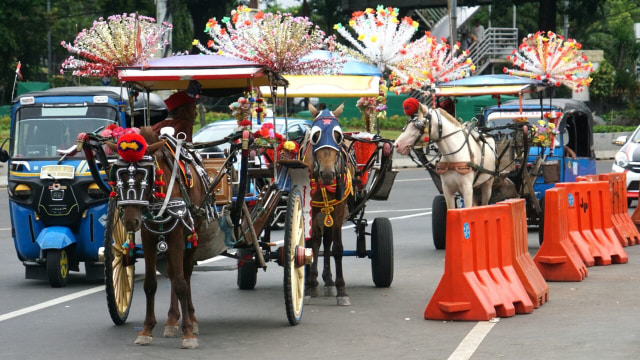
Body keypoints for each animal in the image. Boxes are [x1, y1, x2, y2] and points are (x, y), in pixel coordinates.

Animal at [108, 127, 210, 348]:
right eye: (118, 178)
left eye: (145, 177)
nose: (130, 222)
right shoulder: (148, 236)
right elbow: (150, 284)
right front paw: (147, 330)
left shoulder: (177, 234)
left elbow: (181, 282)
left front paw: (188, 333)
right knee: (172, 271)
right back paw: (171, 321)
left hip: (192, 232)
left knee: (186, 273)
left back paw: (191, 319)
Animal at [304, 104, 356, 306]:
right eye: (315, 136)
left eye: (338, 136)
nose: (327, 174)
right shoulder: (311, 207)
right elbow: (312, 244)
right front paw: (309, 286)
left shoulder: (339, 209)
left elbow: (337, 248)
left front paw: (341, 289)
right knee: (318, 241)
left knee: (327, 242)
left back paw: (329, 281)